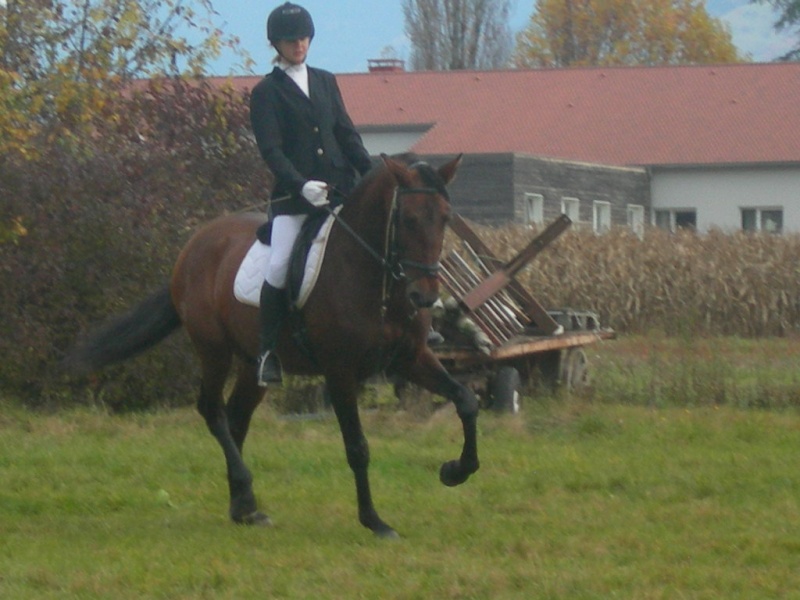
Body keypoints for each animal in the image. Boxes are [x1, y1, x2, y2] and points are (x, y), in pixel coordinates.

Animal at [65, 152, 478, 536]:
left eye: (444, 218)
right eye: (408, 219)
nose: (424, 296)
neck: (373, 276)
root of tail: (194, 244)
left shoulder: (411, 358)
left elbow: (466, 400)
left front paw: (455, 470)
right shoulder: (339, 372)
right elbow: (357, 447)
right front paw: (374, 521)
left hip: (253, 363)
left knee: (236, 417)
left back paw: (243, 507)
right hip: (213, 349)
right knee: (212, 410)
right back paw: (246, 495)